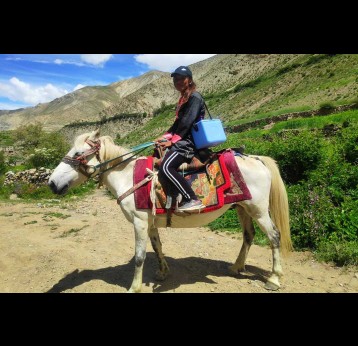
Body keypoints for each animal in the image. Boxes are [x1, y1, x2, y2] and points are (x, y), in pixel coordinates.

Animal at [49, 130, 292, 292]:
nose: (51, 183)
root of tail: (257, 159)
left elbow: (139, 256)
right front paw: (163, 273)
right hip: (242, 207)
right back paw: (236, 267)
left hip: (258, 210)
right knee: (249, 236)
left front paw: (134, 287)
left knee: (274, 237)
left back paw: (274, 279)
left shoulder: (139, 221)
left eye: (78, 153)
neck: (127, 175)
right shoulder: (149, 222)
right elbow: (157, 247)